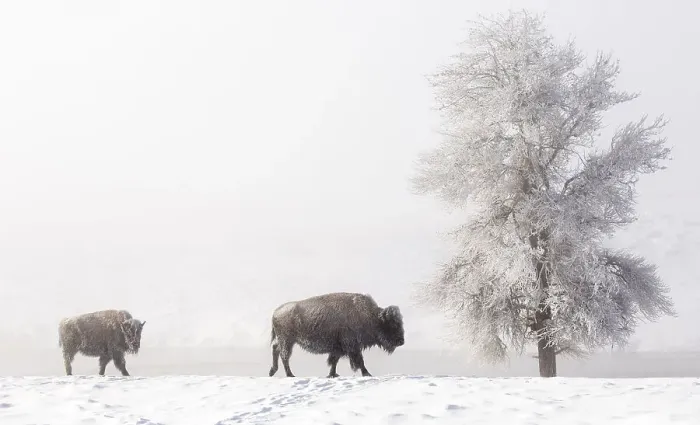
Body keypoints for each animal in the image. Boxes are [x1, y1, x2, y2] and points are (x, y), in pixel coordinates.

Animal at [268, 292, 405, 378]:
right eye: (392, 324)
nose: (401, 341)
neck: (371, 316)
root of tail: (276, 312)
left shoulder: (339, 348)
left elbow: (334, 361)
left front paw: (332, 374)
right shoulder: (352, 347)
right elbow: (359, 361)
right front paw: (367, 374)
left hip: (285, 340)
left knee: (276, 349)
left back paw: (273, 371)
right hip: (287, 340)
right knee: (284, 355)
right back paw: (290, 375)